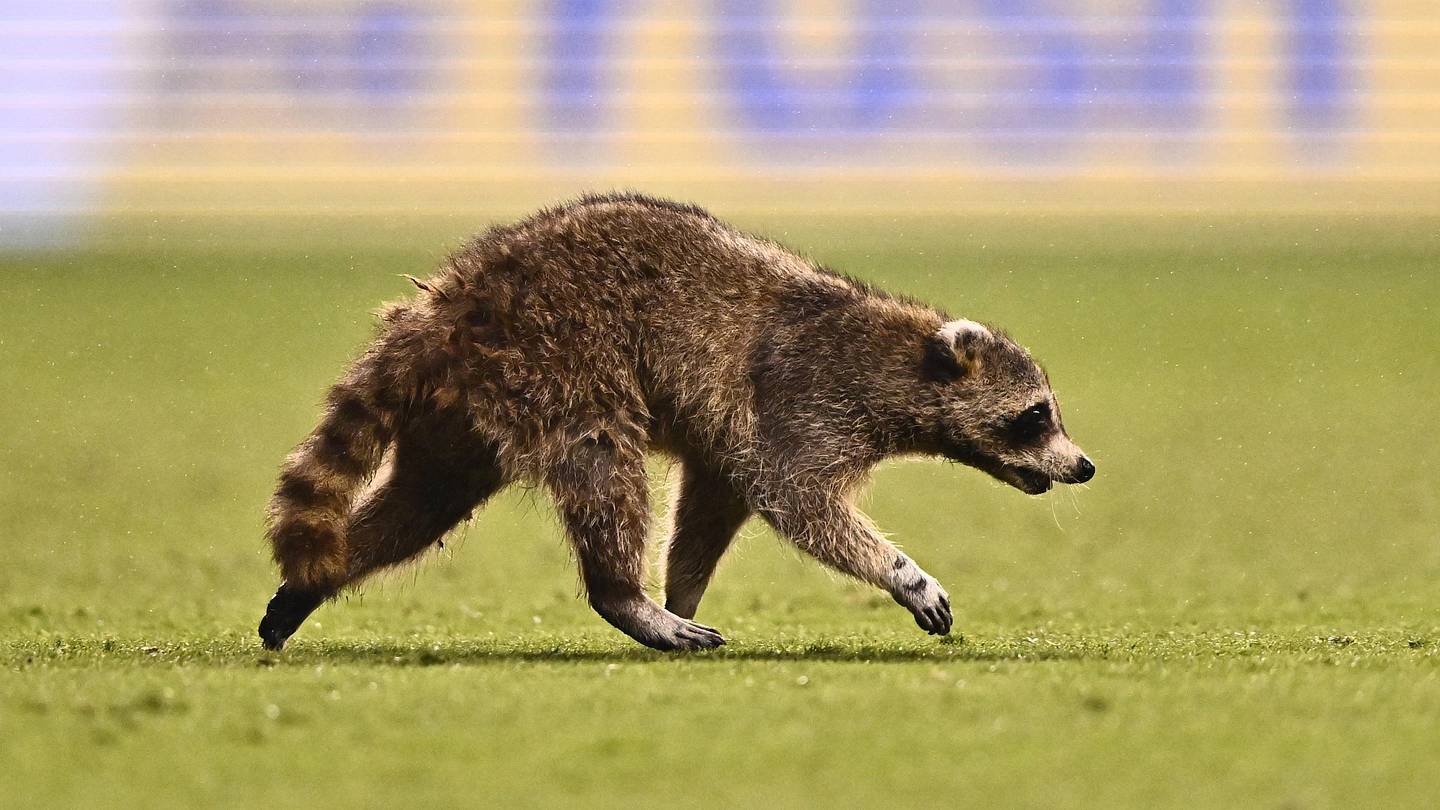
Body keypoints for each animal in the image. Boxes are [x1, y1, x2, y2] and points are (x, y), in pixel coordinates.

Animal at [258, 193, 1094, 652]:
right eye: (1035, 418)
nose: (1083, 465)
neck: (906, 355)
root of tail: (453, 298)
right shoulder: (806, 404)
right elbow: (798, 503)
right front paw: (901, 572)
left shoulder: (732, 440)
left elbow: (712, 507)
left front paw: (681, 590)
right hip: (558, 358)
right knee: (604, 465)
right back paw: (622, 595)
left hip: (466, 408)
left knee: (422, 502)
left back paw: (322, 576)